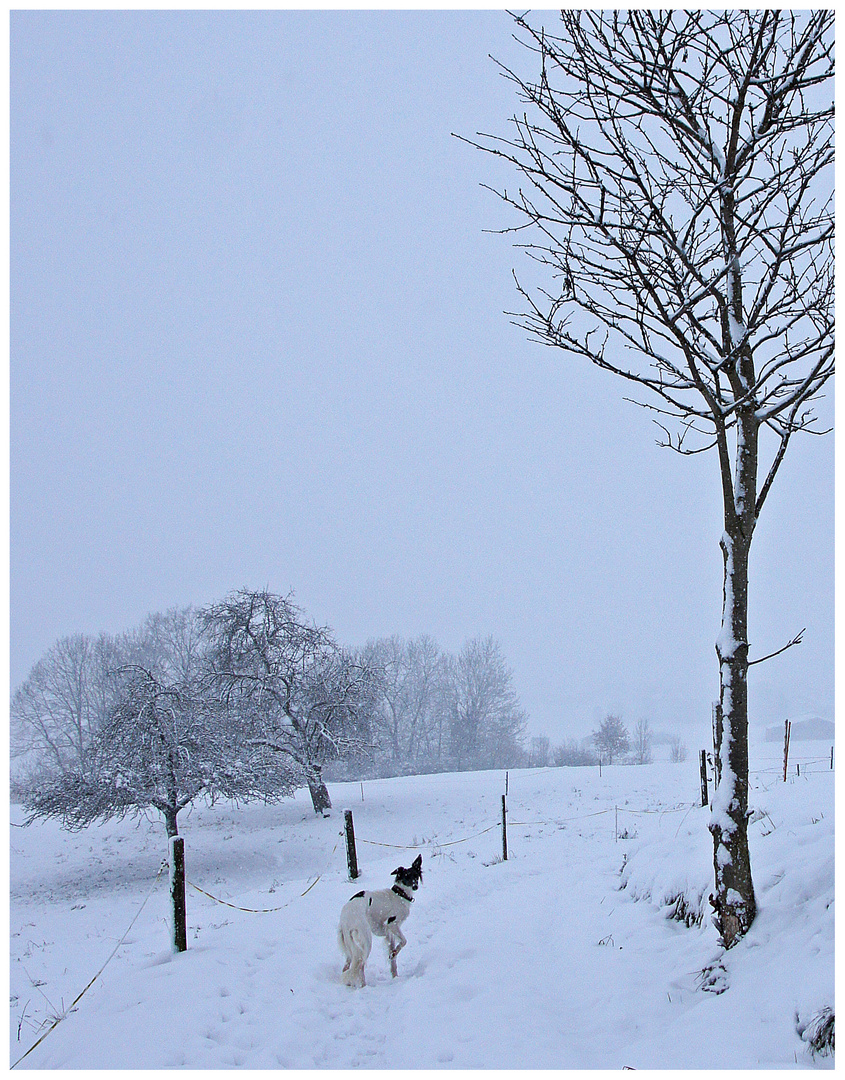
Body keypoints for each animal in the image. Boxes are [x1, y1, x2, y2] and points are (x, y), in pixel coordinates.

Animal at [339, 851, 423, 989]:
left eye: (416, 875)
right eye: (407, 876)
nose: (415, 886)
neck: (399, 895)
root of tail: (347, 915)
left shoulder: (389, 934)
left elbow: (393, 960)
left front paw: (395, 976)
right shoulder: (392, 924)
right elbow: (404, 941)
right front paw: (394, 953)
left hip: (349, 943)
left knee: (348, 966)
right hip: (366, 940)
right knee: (360, 965)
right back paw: (363, 986)